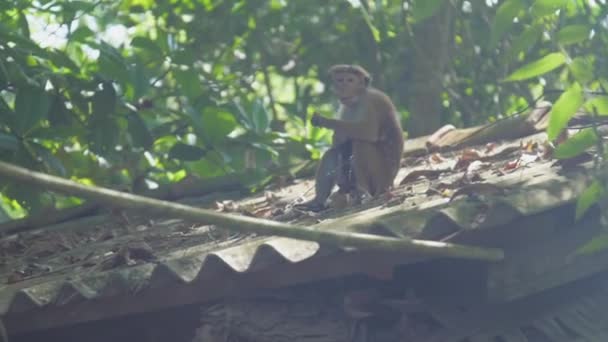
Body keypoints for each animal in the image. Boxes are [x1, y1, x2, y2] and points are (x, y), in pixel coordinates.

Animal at [296, 62, 404, 210]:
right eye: (340, 80)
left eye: (350, 80)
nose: (343, 88)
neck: (357, 99)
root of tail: (391, 182)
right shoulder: (345, 108)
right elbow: (339, 145)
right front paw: (337, 138)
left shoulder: (371, 101)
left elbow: (368, 131)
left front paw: (327, 122)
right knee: (333, 153)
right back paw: (317, 202)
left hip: (382, 177)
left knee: (361, 144)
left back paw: (364, 192)